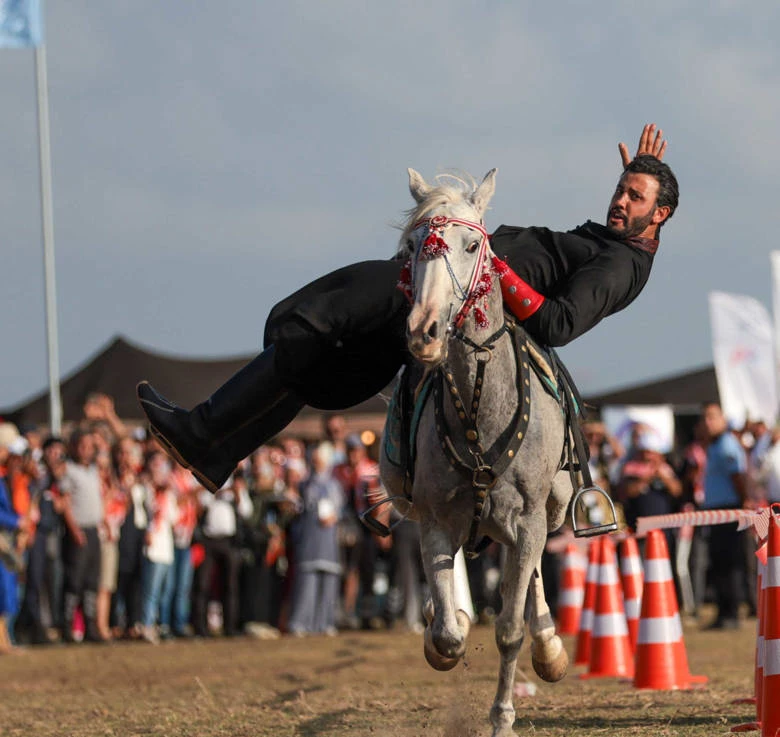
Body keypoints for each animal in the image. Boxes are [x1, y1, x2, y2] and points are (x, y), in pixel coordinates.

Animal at [378, 170, 572, 736]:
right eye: (412, 248)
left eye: (471, 246)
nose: (424, 331)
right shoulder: (435, 521)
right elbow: (447, 634)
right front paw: (441, 630)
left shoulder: (528, 521)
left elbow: (510, 629)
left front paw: (502, 717)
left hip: (547, 510)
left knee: (532, 580)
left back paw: (550, 646)